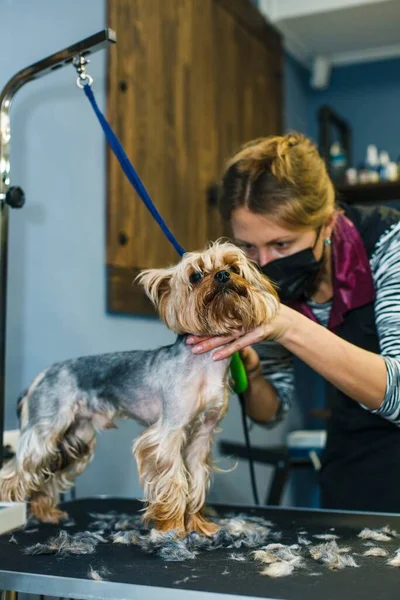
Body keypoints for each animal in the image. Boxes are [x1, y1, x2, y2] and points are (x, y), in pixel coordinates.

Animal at [0, 241, 280, 536]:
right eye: (195, 276)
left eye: (234, 268)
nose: (223, 276)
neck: (205, 363)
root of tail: (38, 378)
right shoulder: (169, 430)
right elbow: (175, 478)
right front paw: (173, 527)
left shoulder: (202, 434)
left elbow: (196, 478)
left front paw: (198, 524)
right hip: (46, 428)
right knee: (16, 471)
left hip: (74, 436)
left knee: (46, 474)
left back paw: (46, 512)